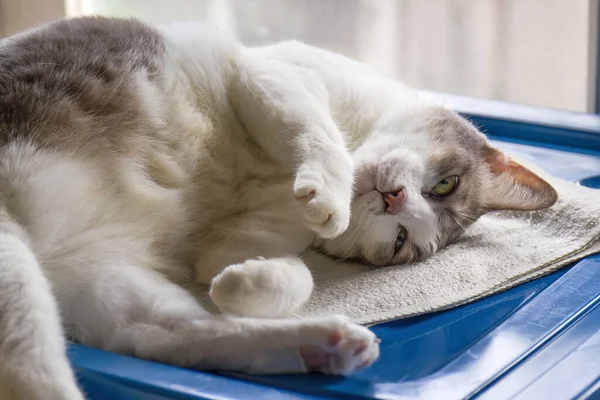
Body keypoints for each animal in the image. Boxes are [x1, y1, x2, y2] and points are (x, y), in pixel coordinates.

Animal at [0, 16, 556, 400]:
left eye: (400, 241)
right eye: (445, 184)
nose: (393, 198)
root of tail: (47, 253)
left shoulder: (234, 244)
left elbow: (279, 272)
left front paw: (239, 286)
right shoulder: (273, 74)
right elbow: (316, 132)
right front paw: (329, 195)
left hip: (100, 278)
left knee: (165, 334)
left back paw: (327, 344)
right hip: (15, 263)